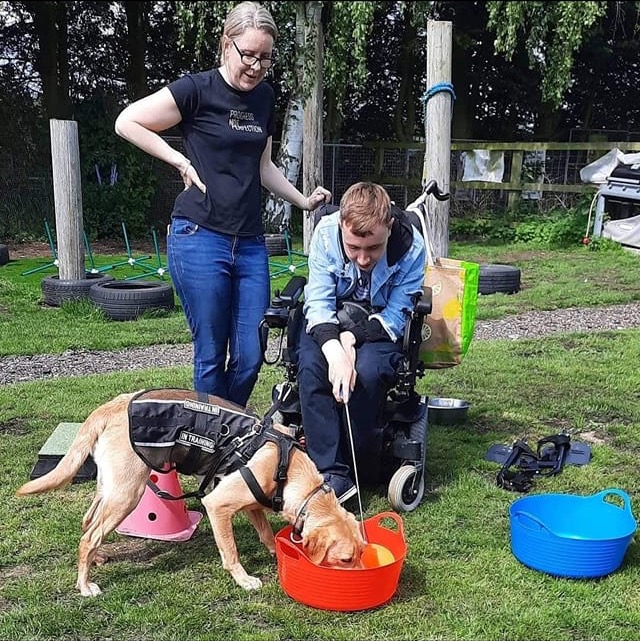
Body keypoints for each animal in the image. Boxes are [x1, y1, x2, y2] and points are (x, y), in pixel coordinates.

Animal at [16, 388, 364, 596]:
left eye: (361, 554)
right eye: (346, 559)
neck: (288, 467)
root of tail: (112, 406)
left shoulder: (252, 502)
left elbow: (265, 532)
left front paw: (273, 552)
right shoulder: (217, 504)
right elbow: (230, 552)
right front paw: (244, 579)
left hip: (111, 488)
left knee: (88, 524)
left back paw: (98, 557)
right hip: (127, 494)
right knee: (89, 535)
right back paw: (85, 585)